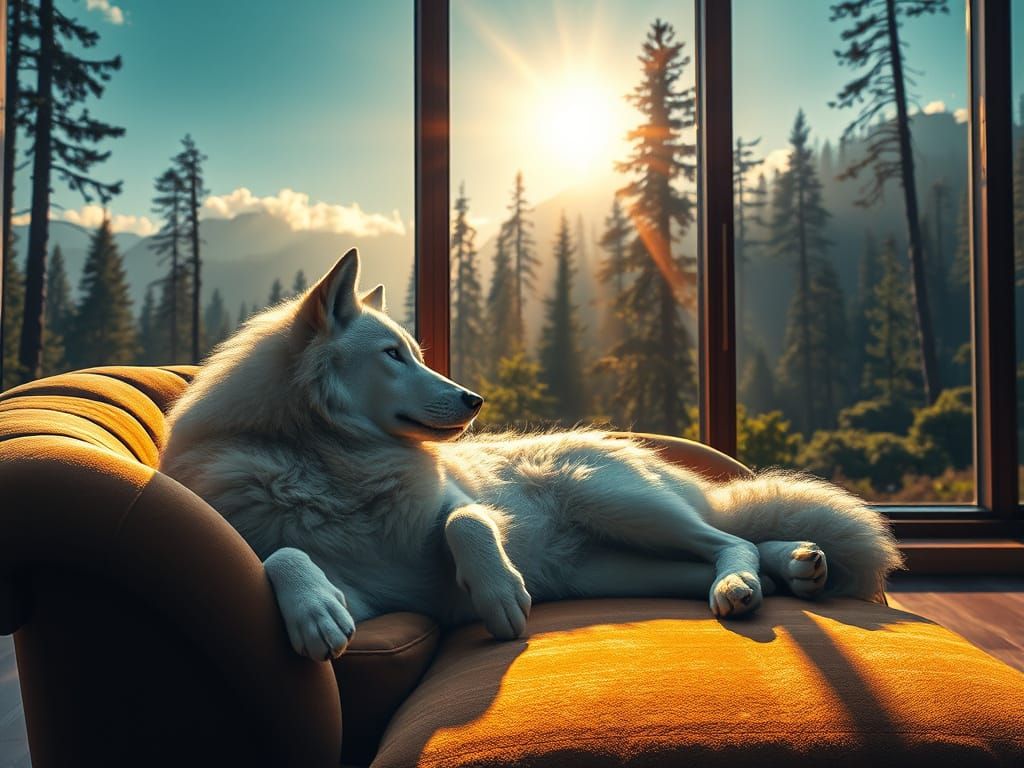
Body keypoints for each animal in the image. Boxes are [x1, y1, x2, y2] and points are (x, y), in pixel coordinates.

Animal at [160, 249, 904, 661]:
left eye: (417, 352)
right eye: (393, 354)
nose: (474, 398)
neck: (333, 461)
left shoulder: (461, 510)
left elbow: (466, 521)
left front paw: (496, 595)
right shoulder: (365, 598)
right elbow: (282, 555)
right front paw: (313, 615)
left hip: (618, 504)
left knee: (728, 538)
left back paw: (752, 578)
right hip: (614, 570)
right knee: (728, 552)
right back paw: (785, 571)